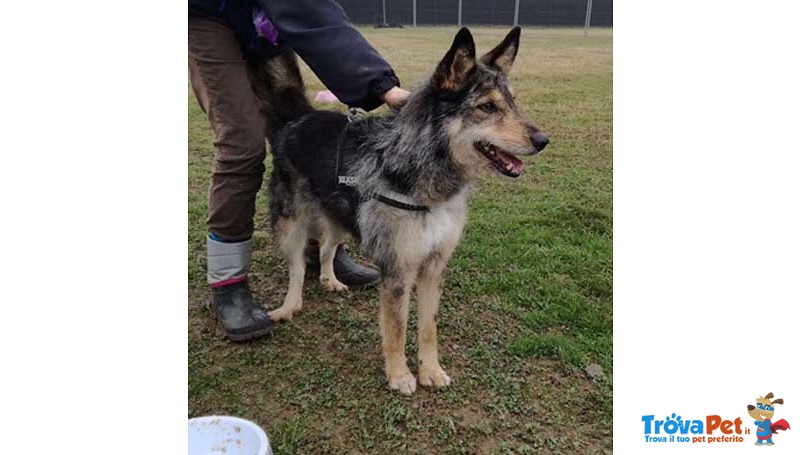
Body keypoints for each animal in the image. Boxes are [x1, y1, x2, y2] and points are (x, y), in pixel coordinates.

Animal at [266, 27, 548, 396]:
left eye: (512, 102)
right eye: (486, 107)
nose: (543, 140)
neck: (424, 168)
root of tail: (301, 117)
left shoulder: (434, 267)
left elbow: (429, 328)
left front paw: (431, 371)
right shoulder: (398, 270)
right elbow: (397, 328)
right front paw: (399, 375)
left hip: (341, 216)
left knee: (327, 247)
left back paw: (330, 280)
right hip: (291, 224)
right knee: (297, 266)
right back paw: (289, 306)